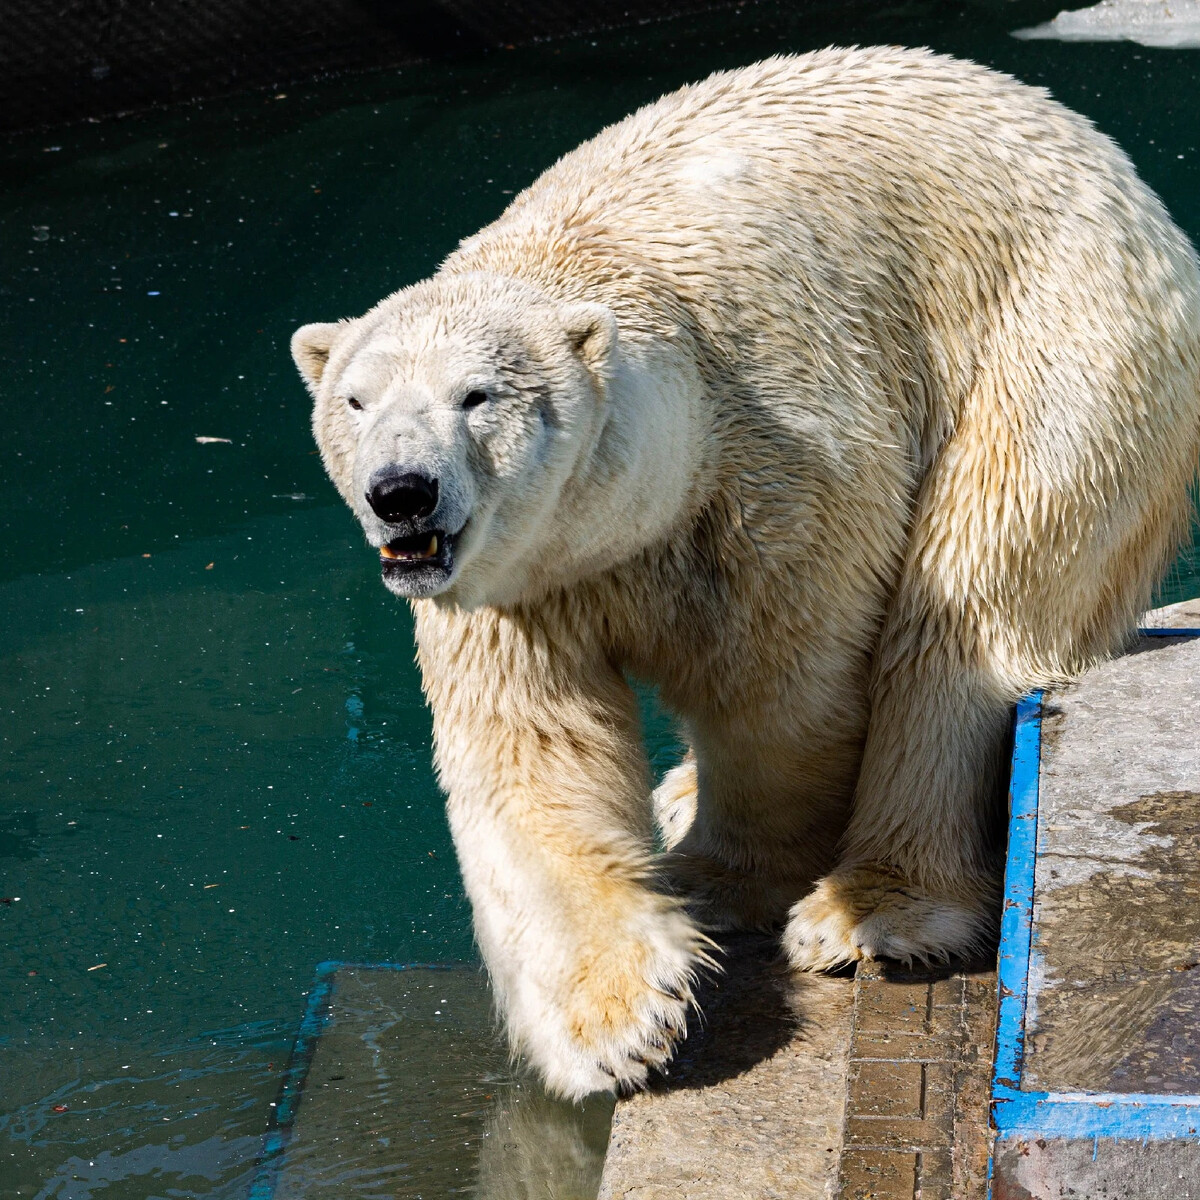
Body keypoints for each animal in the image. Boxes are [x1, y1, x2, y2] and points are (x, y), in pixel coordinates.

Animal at [292, 49, 1200, 1099]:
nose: (401, 493)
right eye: (356, 400)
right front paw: (616, 1019)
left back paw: (873, 911)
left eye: (475, 396)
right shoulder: (516, 586)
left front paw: (719, 881)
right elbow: (534, 753)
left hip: (1062, 348)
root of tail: (1122, 174)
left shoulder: (775, 473)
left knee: (971, 607)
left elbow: (779, 694)